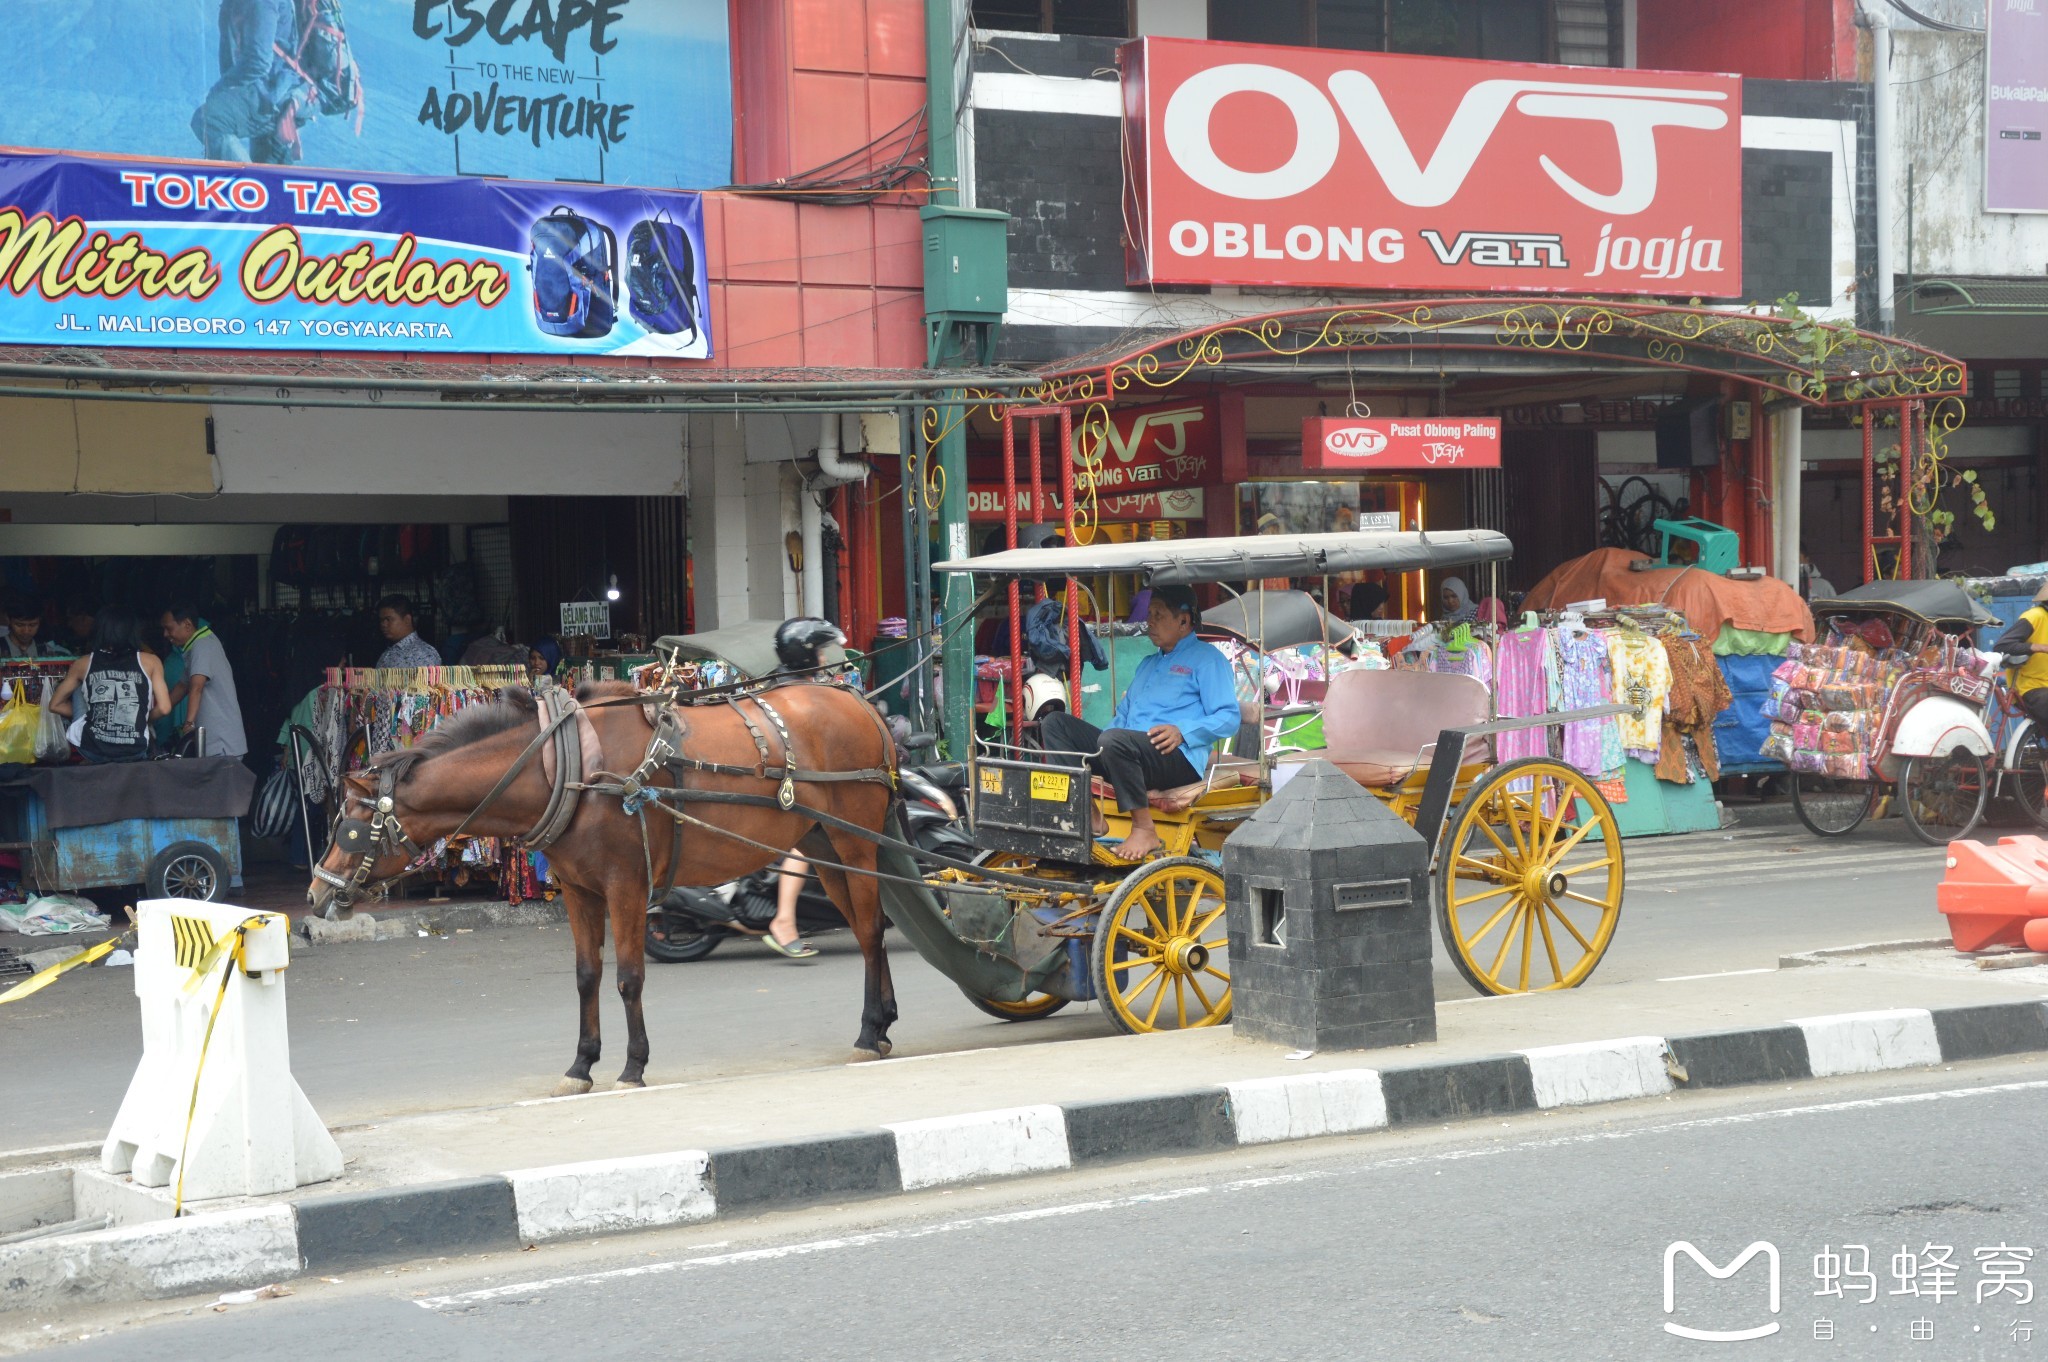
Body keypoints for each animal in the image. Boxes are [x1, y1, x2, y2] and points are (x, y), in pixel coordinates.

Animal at [307, 679, 901, 1097]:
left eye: (349, 825)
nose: (315, 895)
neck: (562, 767)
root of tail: (861, 703)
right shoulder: (578, 888)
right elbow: (587, 975)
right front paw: (581, 1063)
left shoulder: (626, 883)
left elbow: (629, 977)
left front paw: (633, 1064)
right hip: (823, 844)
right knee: (864, 925)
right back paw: (884, 1024)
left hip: (854, 840)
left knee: (872, 929)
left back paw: (869, 1031)